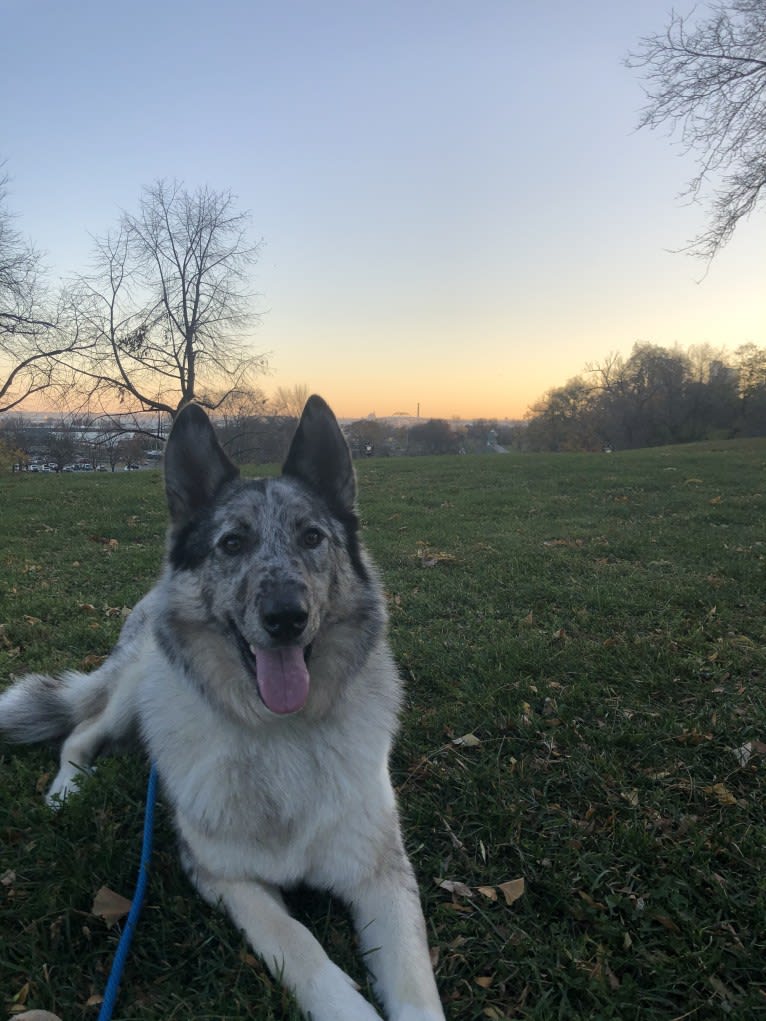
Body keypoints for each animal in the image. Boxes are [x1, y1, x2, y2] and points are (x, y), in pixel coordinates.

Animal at [0, 396, 447, 1021]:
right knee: (81, 731)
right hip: (137, 685)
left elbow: (415, 991)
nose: (286, 616)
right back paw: (68, 788)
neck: (282, 734)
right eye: (232, 544)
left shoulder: (381, 873)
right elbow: (299, 945)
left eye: (312, 537)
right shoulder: (224, 877)